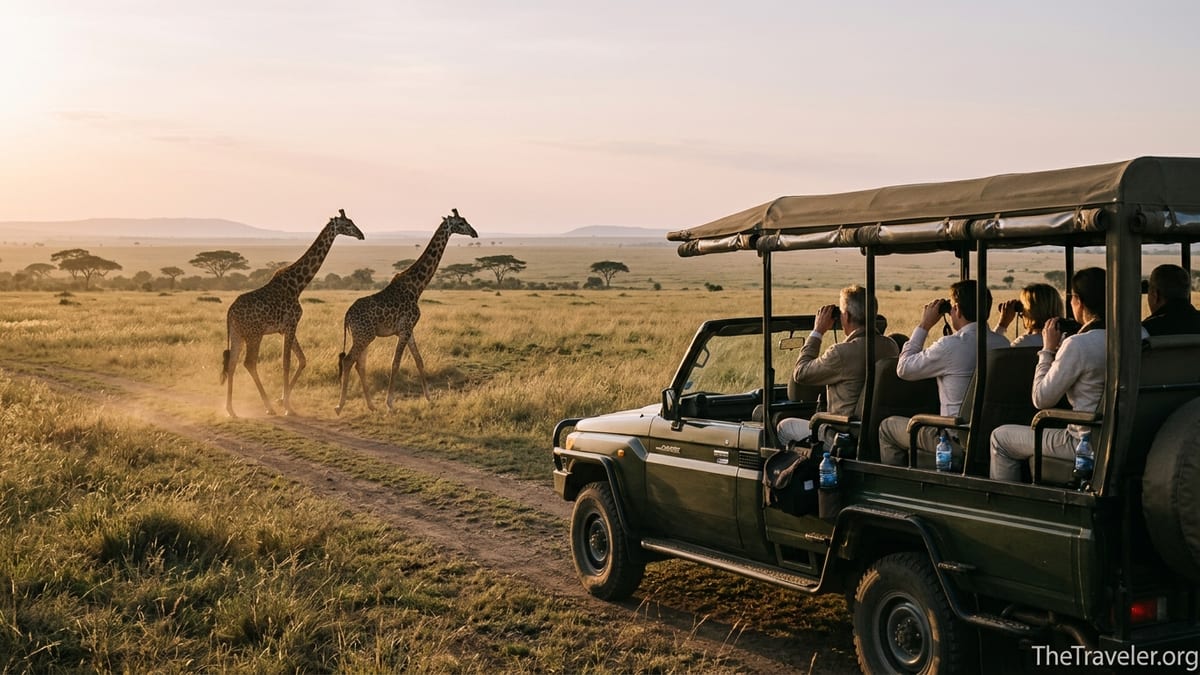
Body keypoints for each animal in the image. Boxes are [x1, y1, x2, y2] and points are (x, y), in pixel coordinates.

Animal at [221, 209, 364, 417]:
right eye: (347, 225)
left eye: (352, 221)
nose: (361, 235)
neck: (298, 285)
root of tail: (230, 313)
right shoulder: (291, 324)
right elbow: (287, 362)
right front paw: (287, 407)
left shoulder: (285, 329)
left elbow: (302, 360)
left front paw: (283, 400)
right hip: (254, 334)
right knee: (249, 363)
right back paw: (267, 407)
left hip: (237, 334)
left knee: (232, 364)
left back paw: (231, 409)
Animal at [335, 209, 477, 414]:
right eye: (460, 223)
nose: (475, 233)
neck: (416, 287)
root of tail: (347, 316)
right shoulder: (404, 329)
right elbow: (395, 363)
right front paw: (389, 403)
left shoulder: (410, 329)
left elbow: (419, 360)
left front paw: (429, 398)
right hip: (364, 335)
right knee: (348, 361)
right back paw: (340, 406)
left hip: (362, 336)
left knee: (359, 364)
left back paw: (370, 405)